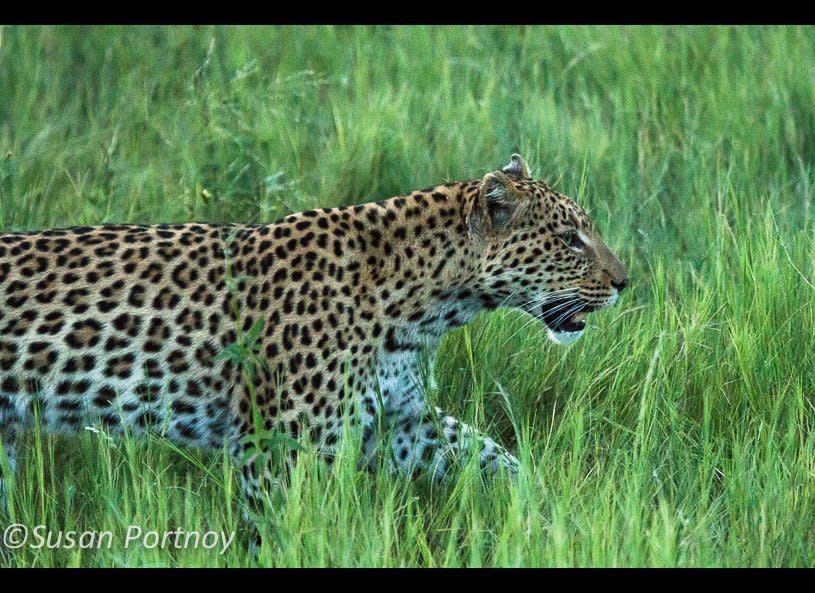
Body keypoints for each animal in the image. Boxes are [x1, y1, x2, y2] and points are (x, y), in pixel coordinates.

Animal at [0, 156, 632, 524]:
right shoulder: (281, 445)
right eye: (570, 239)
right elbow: (287, 529)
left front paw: (550, 511)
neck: (429, 306)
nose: (626, 282)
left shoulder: (398, 420)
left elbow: (486, 453)